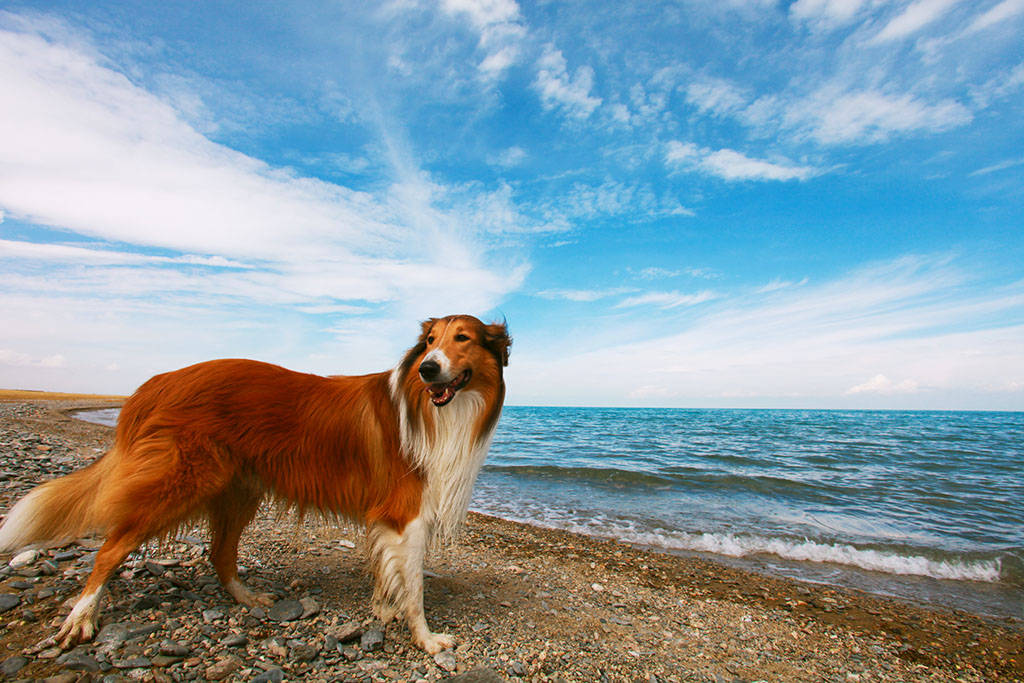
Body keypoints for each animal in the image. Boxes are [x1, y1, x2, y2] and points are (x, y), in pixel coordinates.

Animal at [0, 315, 509, 655]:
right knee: (110, 550)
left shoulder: (389, 522)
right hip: (178, 484)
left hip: (238, 491)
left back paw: (249, 599)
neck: (437, 410)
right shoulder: (407, 516)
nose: (427, 369)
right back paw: (81, 617)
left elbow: (391, 577)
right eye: (429, 341)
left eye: (462, 338)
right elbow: (415, 588)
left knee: (219, 553)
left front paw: (386, 611)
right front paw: (427, 639)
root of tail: (154, 383)